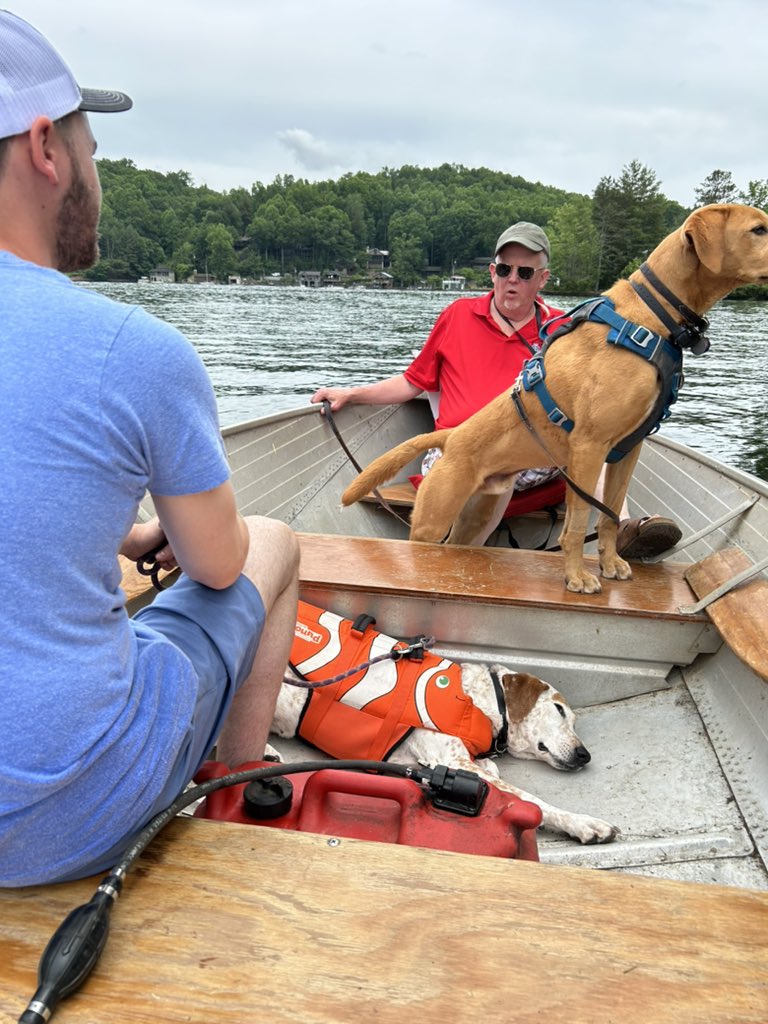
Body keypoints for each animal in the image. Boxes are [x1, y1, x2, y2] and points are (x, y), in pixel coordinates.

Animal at [270, 667, 618, 843]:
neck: (480, 699)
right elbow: (531, 800)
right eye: (559, 710)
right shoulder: (453, 762)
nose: (584, 755)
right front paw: (583, 823)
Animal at [346, 205, 768, 593]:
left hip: (475, 514)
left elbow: (609, 515)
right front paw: (577, 577)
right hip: (433, 519)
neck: (651, 316)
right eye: (759, 229)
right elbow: (579, 523)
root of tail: (451, 437)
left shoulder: (626, 451)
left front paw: (610, 564)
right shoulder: (589, 446)